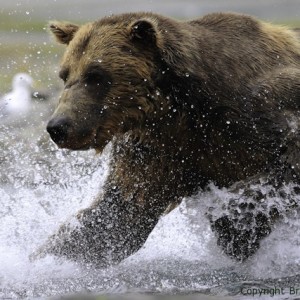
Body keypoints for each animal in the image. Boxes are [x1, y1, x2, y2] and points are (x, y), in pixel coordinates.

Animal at [32, 11, 300, 266]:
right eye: (65, 75)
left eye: (96, 75)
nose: (58, 126)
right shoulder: (160, 148)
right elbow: (121, 211)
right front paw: (43, 257)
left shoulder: (261, 109)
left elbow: (285, 167)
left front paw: (233, 226)